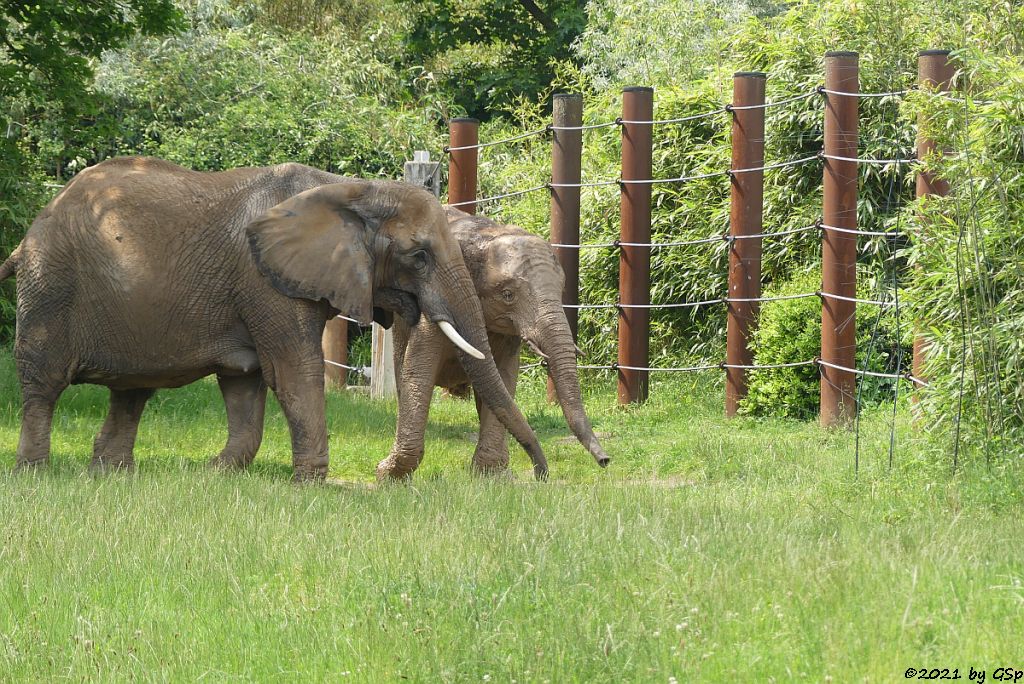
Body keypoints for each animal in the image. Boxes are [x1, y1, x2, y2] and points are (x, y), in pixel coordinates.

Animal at [4, 157, 548, 481]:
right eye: (419, 256)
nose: (541, 475)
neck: (350, 190)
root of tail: (34, 228)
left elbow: (244, 382)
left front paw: (218, 473)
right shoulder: (263, 280)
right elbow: (291, 370)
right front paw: (310, 481)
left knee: (132, 390)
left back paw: (111, 473)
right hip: (50, 288)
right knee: (43, 382)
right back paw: (35, 471)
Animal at [374, 205, 606, 479]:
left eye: (561, 292)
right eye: (507, 295)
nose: (605, 460)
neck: (488, 233)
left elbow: (504, 377)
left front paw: (490, 475)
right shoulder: (435, 301)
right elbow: (418, 369)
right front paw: (389, 476)